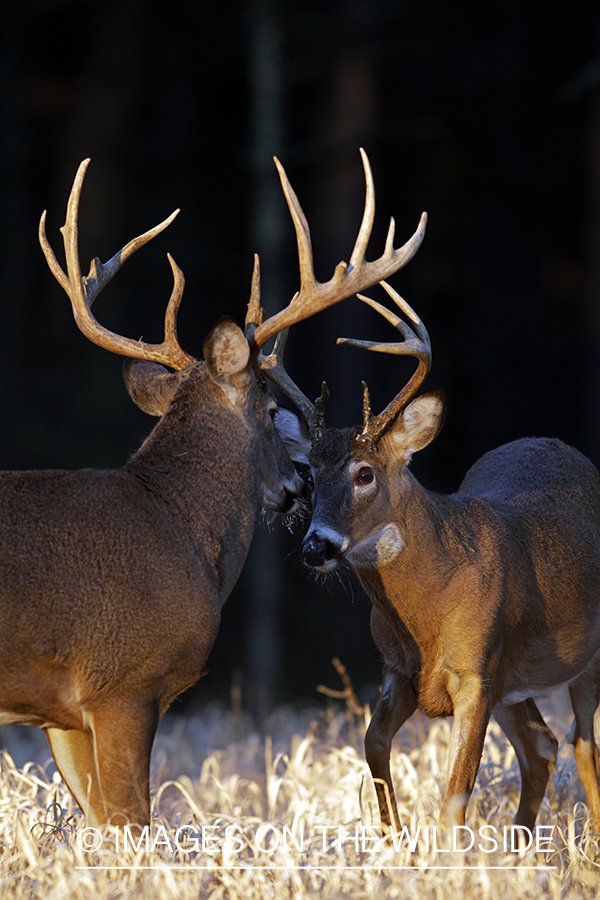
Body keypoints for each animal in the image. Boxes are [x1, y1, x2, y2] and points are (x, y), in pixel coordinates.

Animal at [0, 149, 426, 828]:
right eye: (272, 408)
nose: (301, 481)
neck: (176, 524)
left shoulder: (61, 718)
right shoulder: (123, 683)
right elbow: (133, 828)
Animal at [278, 214, 600, 832]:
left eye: (364, 473)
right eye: (307, 475)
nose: (315, 548)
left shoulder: (477, 672)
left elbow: (453, 797)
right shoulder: (397, 670)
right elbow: (373, 745)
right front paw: (394, 837)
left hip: (582, 659)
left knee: (583, 746)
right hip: (518, 684)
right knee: (544, 747)